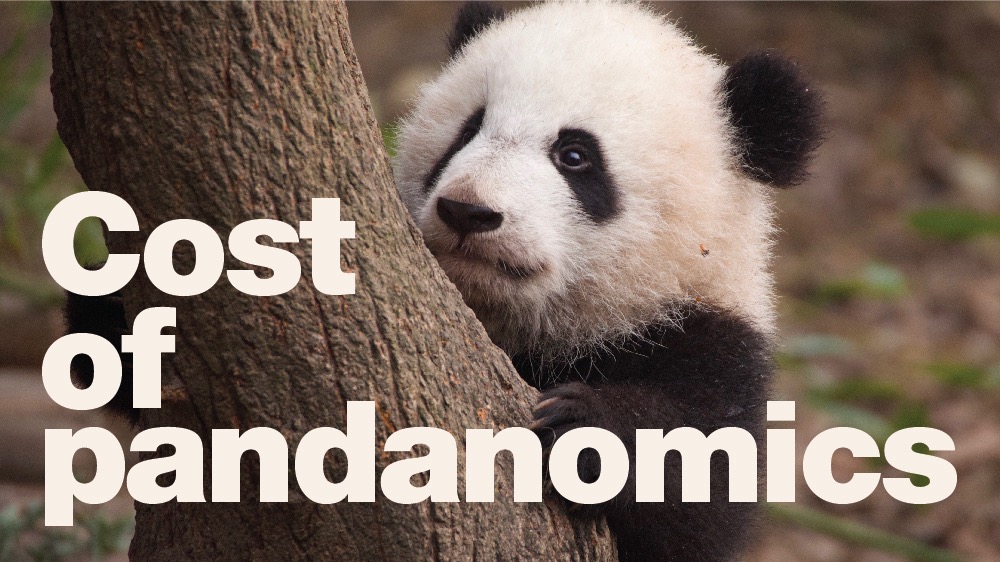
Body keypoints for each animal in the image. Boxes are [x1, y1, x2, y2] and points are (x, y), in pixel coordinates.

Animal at [393, 2, 822, 561]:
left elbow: (704, 498)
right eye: (468, 130)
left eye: (575, 156)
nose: (468, 211)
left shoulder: (716, 344)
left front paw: (580, 427)